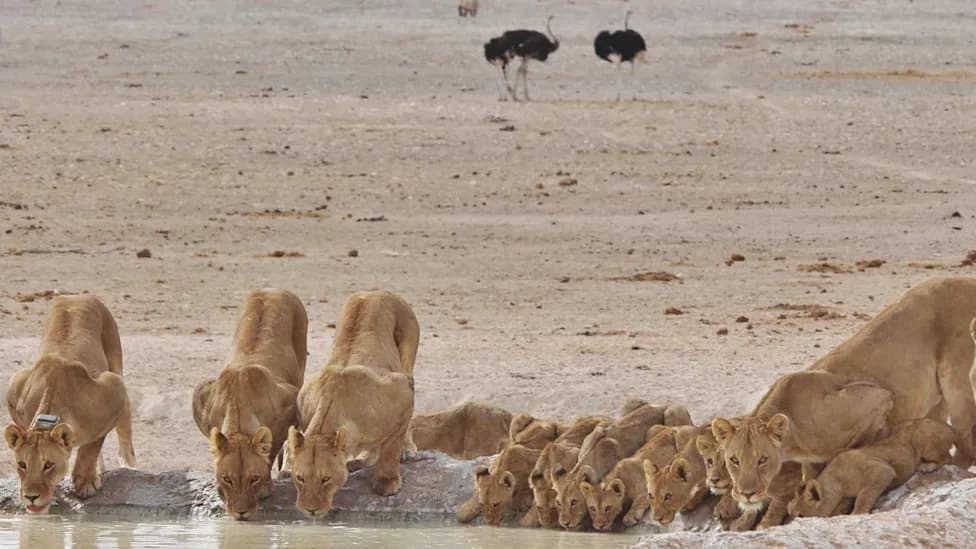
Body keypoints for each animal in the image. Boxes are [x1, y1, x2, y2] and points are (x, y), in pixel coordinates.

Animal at [5, 295, 135, 514]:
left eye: (48, 465)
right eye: (22, 465)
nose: (31, 497)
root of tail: (77, 295)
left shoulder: (112, 387)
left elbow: (92, 446)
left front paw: (86, 483)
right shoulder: (16, 386)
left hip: (116, 362)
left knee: (125, 423)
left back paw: (128, 464)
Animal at [191, 289, 307, 520]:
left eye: (253, 479)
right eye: (227, 479)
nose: (241, 513)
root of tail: (274, 290)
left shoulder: (290, 401)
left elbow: (272, 447)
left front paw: (266, 487)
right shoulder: (201, 396)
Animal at [288, 290, 419, 516]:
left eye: (325, 479)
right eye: (300, 478)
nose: (309, 510)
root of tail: (377, 291)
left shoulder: (402, 391)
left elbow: (391, 449)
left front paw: (387, 482)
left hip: (407, 357)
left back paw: (406, 449)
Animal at [712, 370, 893, 517]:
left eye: (763, 459)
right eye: (734, 460)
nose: (747, 495)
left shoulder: (879, 398)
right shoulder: (807, 461)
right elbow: (808, 477)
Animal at [789, 418, 954, 518]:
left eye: (801, 516)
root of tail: (949, 428)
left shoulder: (881, 470)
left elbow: (865, 495)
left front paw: (857, 513)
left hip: (924, 440)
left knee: (948, 458)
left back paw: (926, 466)